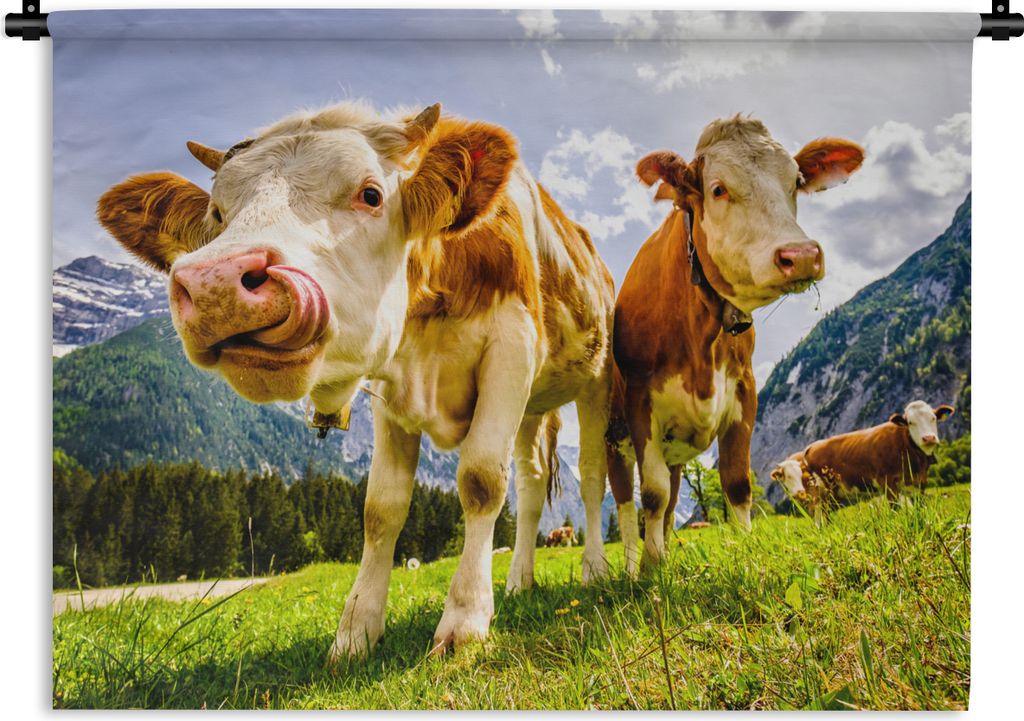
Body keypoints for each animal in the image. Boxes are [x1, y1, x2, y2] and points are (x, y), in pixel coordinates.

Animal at [96, 101, 616, 659]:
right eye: (217, 213)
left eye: (371, 194)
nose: (217, 285)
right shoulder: (391, 390)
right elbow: (380, 508)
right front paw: (356, 632)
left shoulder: (512, 349)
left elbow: (480, 481)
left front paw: (464, 623)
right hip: (534, 408)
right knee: (533, 483)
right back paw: (520, 580)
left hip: (597, 380)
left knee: (591, 475)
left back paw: (597, 569)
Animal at [606, 115, 864, 574]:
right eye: (718, 189)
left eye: (796, 182)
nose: (801, 254)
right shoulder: (640, 403)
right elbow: (651, 493)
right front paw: (650, 570)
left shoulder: (745, 391)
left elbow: (737, 484)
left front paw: (745, 554)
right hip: (612, 440)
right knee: (625, 503)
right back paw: (637, 566)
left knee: (670, 502)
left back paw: (659, 555)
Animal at [788, 401, 956, 517]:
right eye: (910, 422)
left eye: (933, 418)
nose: (928, 438)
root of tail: (811, 446)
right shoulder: (887, 482)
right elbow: (895, 508)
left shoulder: (918, 483)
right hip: (822, 492)